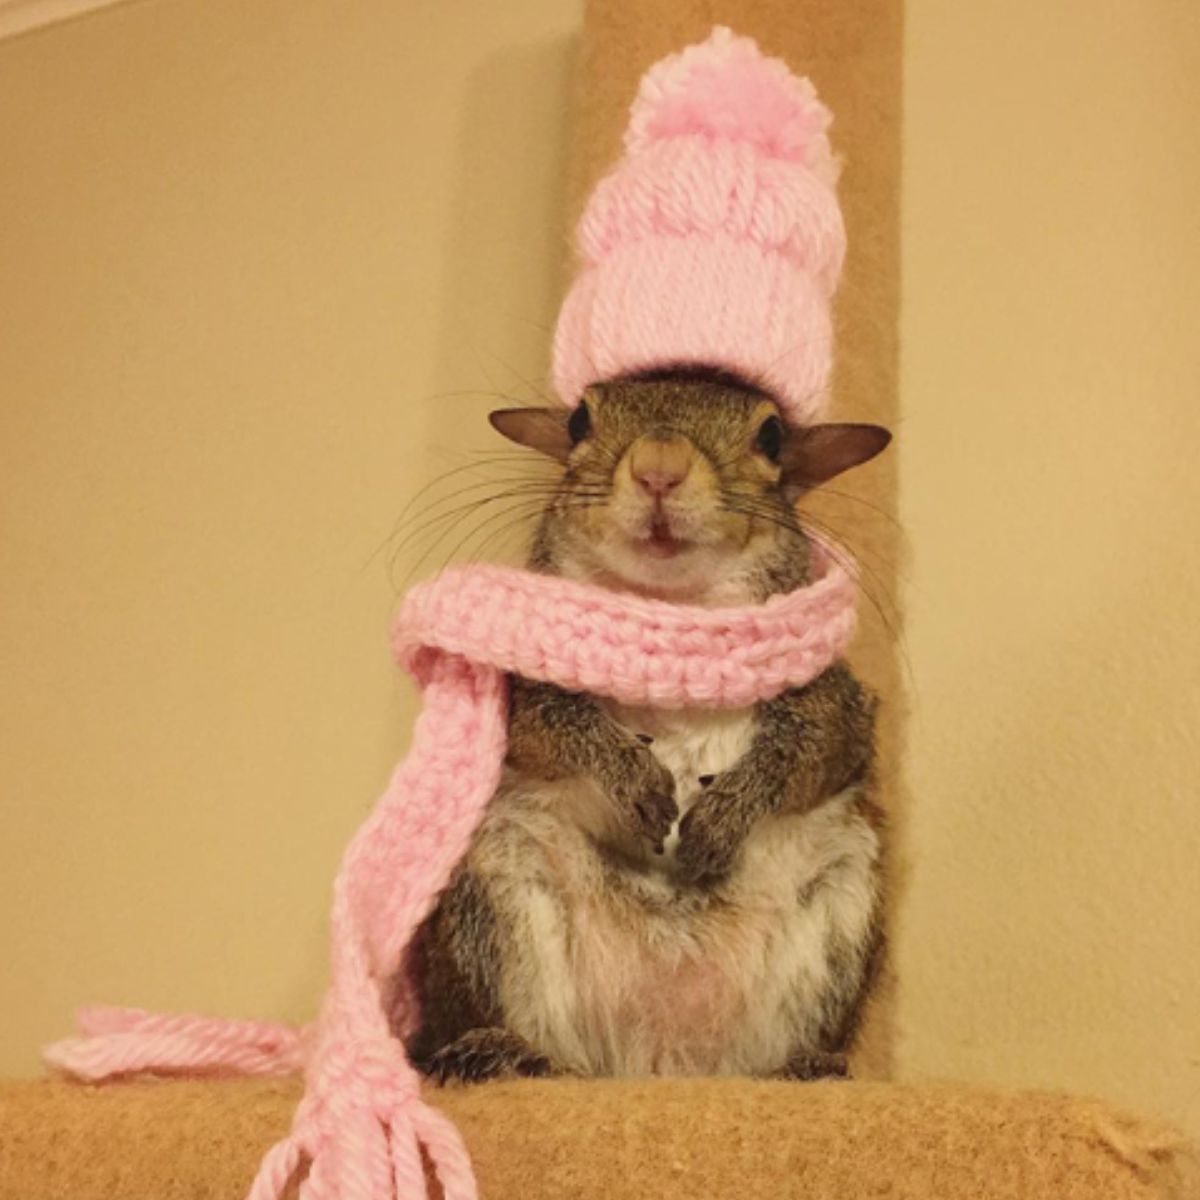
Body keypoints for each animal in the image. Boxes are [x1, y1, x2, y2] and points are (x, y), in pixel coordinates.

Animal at [398, 369, 888, 1084]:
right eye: (578, 422)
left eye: (771, 436)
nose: (660, 467)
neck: (671, 613)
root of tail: (658, 1063)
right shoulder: (515, 689)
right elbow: (551, 726)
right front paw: (627, 772)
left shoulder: (837, 703)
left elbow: (811, 752)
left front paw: (728, 810)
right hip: (494, 894)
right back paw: (501, 1052)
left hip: (840, 903)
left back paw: (801, 1068)